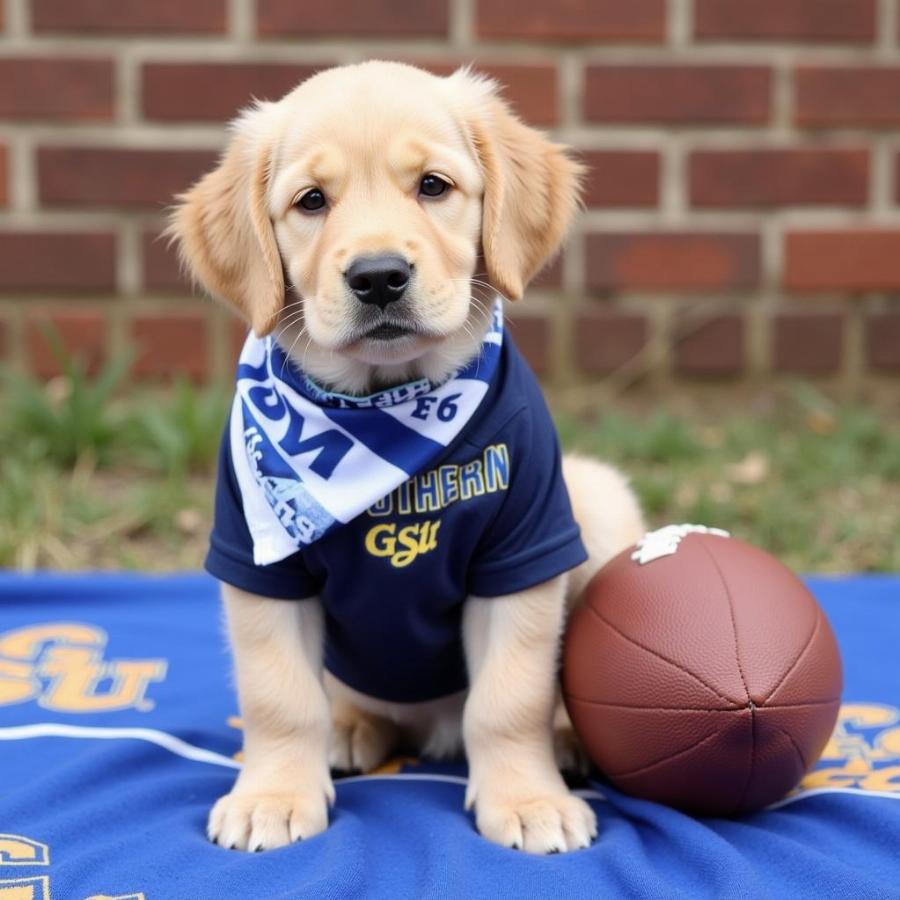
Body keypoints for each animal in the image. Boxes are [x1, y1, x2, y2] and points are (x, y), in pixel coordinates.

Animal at [171, 61, 648, 852]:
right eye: (311, 201)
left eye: (433, 186)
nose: (378, 276)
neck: (387, 411)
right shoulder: (256, 561)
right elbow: (278, 696)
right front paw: (273, 794)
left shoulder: (524, 551)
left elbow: (511, 699)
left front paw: (526, 799)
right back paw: (349, 726)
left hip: (599, 503)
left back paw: (565, 742)